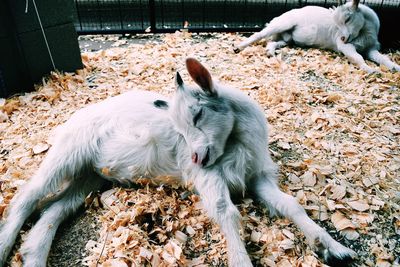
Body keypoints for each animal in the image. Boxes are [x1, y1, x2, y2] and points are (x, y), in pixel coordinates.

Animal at [233, 0, 400, 73]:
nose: (342, 37)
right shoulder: (345, 46)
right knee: (260, 34)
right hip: (282, 24)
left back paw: (269, 52)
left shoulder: (371, 48)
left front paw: (395, 67)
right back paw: (238, 47)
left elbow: (384, 59)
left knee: (275, 42)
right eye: (338, 23)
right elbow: (357, 57)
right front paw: (371, 70)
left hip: (287, 38)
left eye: (347, 18)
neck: (364, 33)